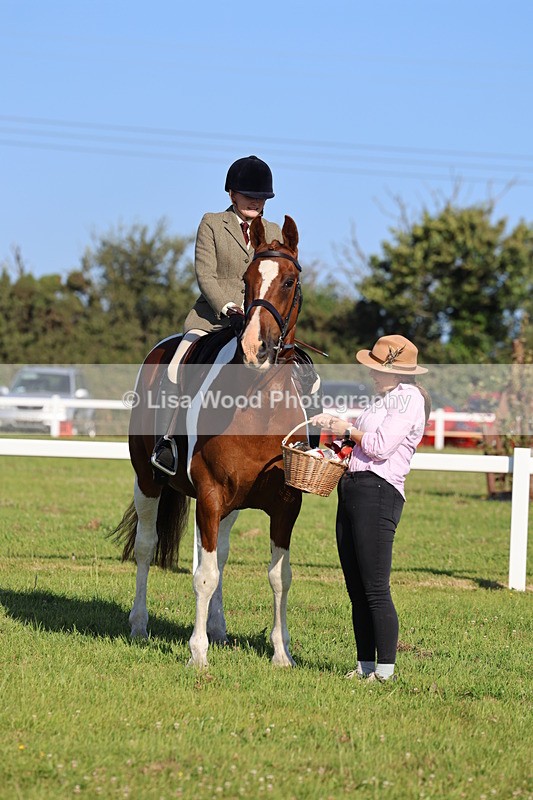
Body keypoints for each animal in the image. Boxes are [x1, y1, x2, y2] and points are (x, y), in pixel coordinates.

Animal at [113, 215, 312, 668]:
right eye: (247, 279)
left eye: (289, 281)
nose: (256, 349)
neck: (258, 400)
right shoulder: (209, 495)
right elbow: (203, 575)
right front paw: (198, 654)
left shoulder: (286, 503)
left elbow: (279, 576)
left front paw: (281, 654)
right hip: (146, 481)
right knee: (147, 548)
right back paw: (139, 626)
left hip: (232, 505)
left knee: (219, 552)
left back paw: (220, 630)